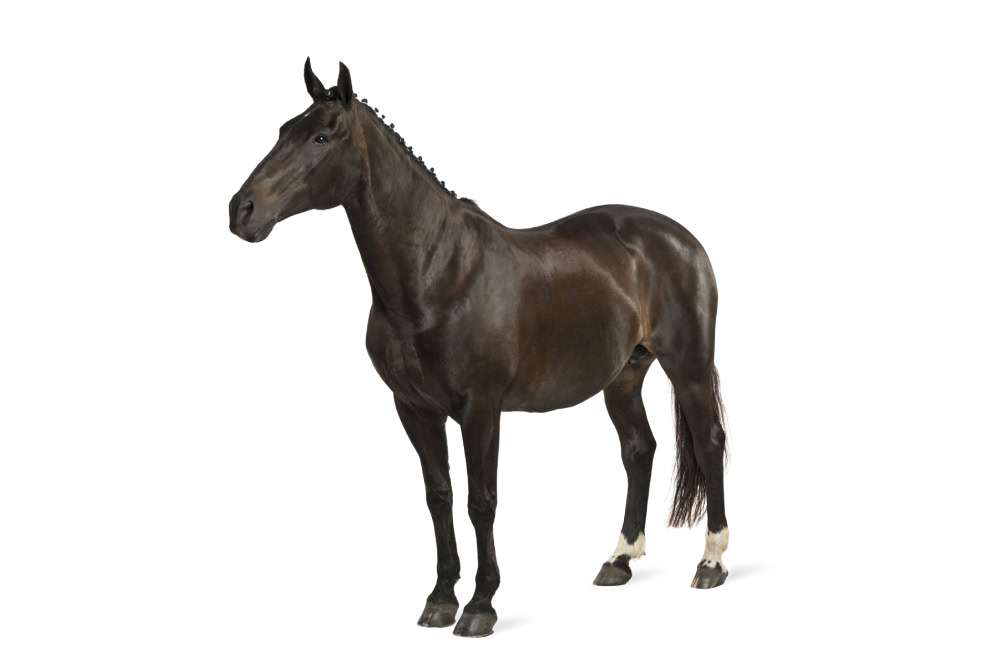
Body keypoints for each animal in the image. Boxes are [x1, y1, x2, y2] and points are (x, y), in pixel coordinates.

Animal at [229, 59, 730, 638]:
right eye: (283, 130)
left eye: (320, 137)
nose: (241, 210)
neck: (437, 271)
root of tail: (681, 238)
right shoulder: (415, 410)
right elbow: (439, 498)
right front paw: (441, 598)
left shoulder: (481, 409)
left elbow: (481, 502)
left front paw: (480, 605)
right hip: (623, 376)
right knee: (638, 449)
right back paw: (619, 560)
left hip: (687, 366)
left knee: (708, 443)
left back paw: (711, 562)